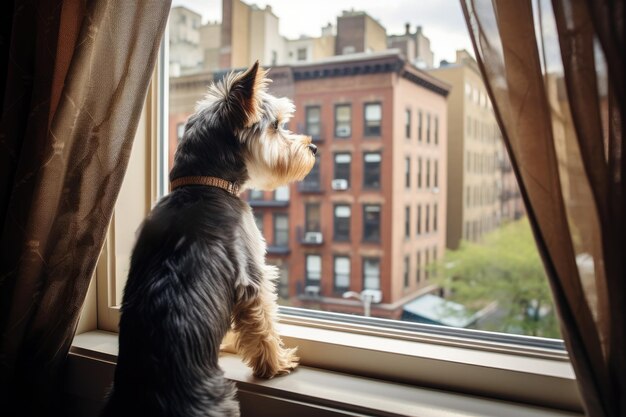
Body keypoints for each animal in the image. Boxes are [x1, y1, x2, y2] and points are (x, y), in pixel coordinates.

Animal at [102, 62, 316, 416]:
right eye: (275, 127)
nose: (312, 147)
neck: (202, 182)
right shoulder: (252, 274)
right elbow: (264, 324)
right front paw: (277, 363)